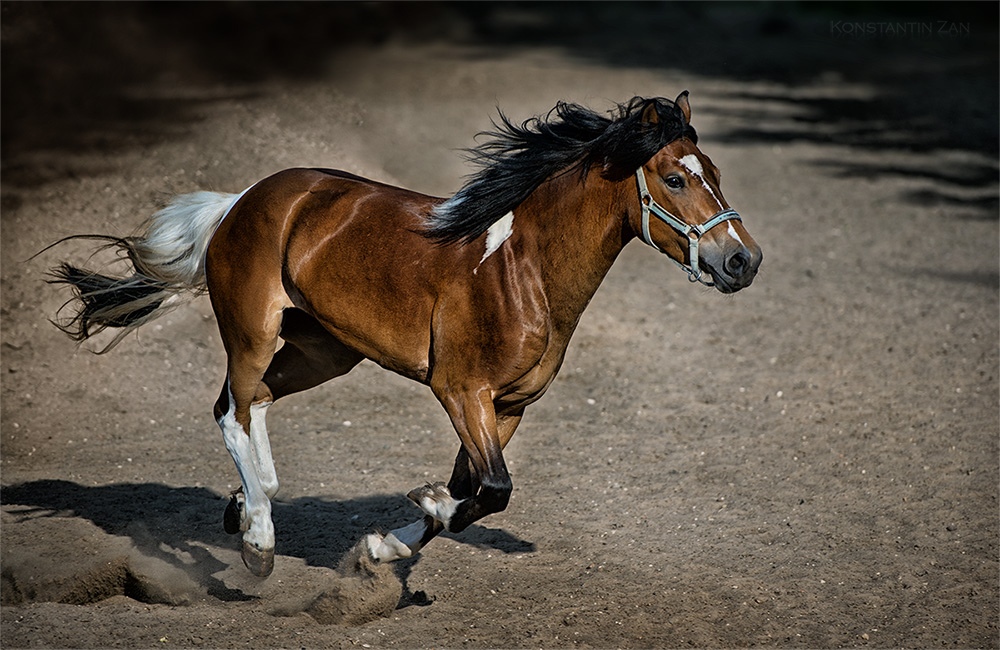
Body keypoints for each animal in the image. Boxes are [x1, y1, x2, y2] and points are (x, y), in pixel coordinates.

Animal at [48, 88, 756, 576]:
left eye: (716, 173)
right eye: (674, 178)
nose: (742, 261)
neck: (523, 271)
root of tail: (241, 201)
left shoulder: (509, 406)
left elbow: (474, 491)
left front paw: (384, 544)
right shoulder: (461, 391)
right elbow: (488, 491)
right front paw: (419, 508)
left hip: (325, 351)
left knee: (249, 403)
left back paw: (245, 506)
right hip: (252, 331)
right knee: (233, 409)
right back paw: (259, 538)